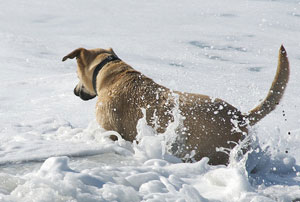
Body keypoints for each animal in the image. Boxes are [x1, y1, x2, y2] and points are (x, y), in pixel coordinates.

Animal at [62, 46, 290, 166]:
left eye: (76, 75)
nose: (74, 90)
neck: (112, 73)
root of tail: (241, 117)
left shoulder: (109, 129)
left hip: (217, 152)